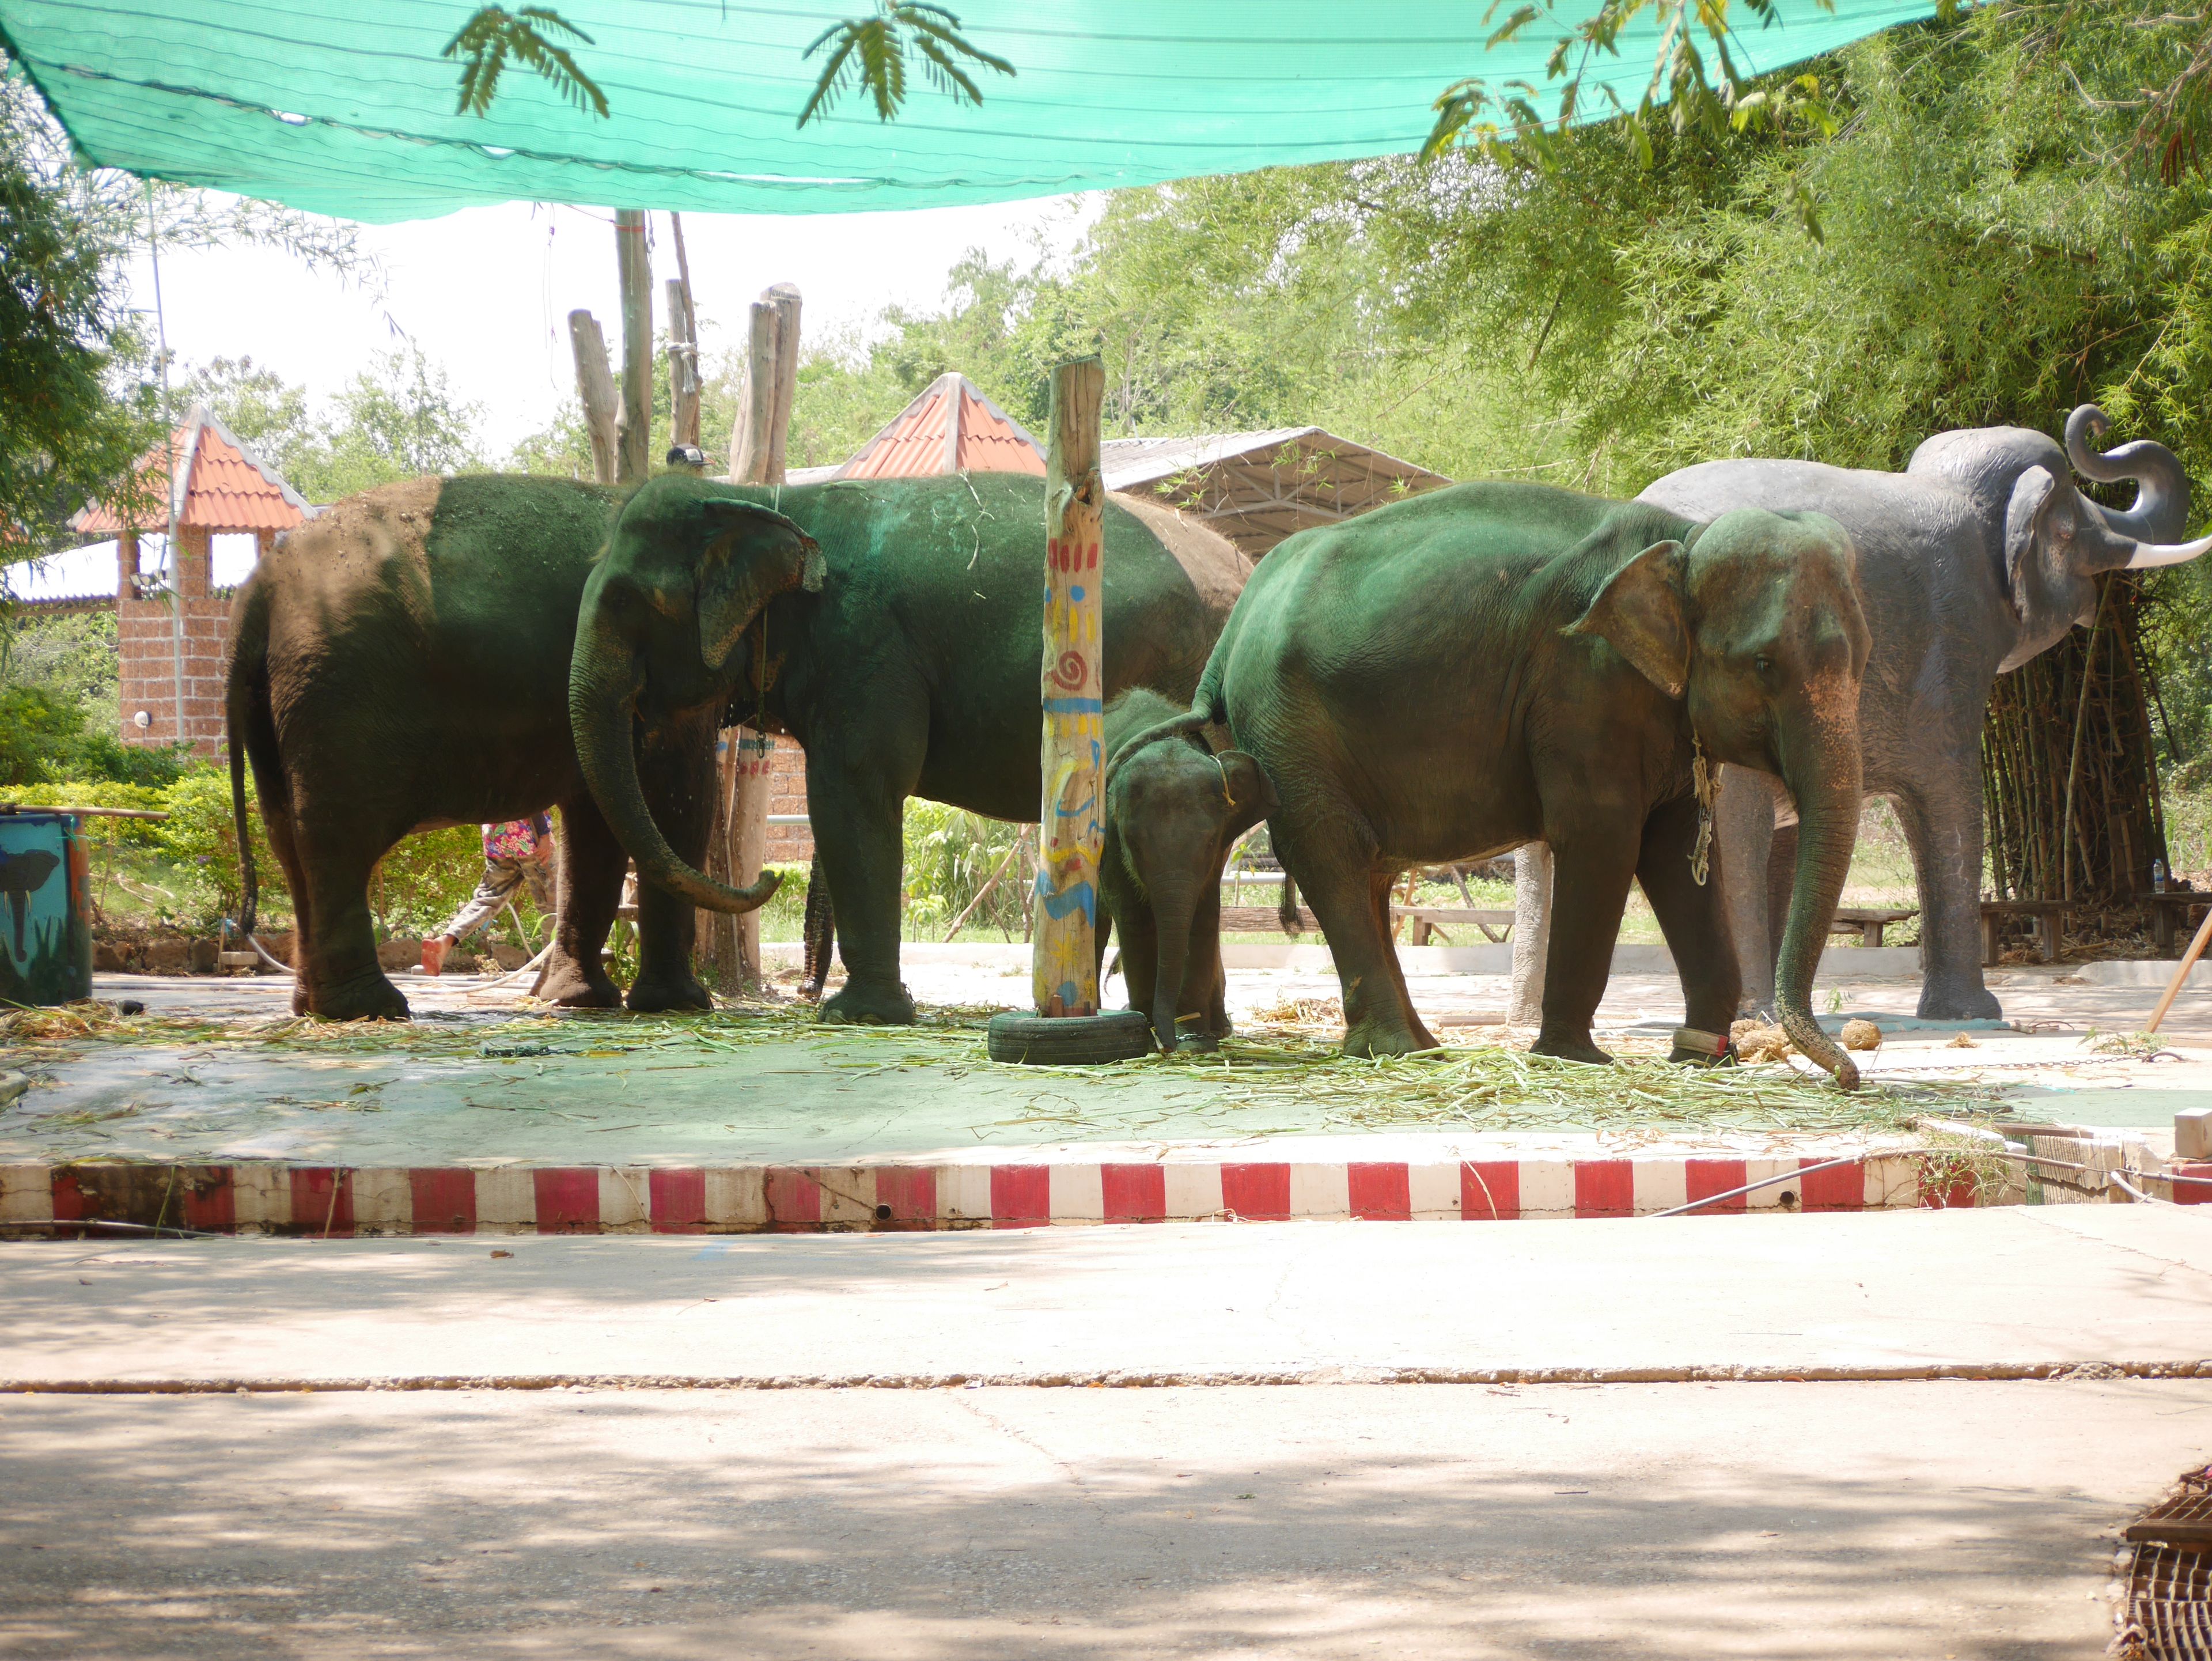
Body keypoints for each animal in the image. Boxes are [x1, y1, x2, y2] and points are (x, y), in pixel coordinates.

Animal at [226, 473, 817, 1019]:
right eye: (627, 604)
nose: (773, 875)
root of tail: (256, 593)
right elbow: (677, 806)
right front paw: (679, 1004)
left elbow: (600, 825)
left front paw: (577, 1000)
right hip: (335, 694)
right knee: (336, 839)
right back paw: (370, 1008)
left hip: (280, 706)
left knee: (287, 840)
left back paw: (314, 1007)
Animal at [1096, 687, 1276, 1052]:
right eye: (1133, 844)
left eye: (1210, 842)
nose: (1169, 1046)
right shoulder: (1110, 842)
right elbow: (1134, 920)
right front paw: (1147, 1030)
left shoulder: (1218, 857)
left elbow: (1204, 919)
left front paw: (1196, 1042)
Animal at [1117, 481, 1872, 1082]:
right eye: (1765, 664)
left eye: (1865, 657)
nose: (1848, 1078)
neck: (1682, 539)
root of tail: (1231, 632)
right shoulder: (1581, 687)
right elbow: (1602, 837)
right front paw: (1573, 1057)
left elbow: (1674, 849)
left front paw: (1705, 1058)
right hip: (1287, 725)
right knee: (1330, 853)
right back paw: (1394, 1050)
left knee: (1370, 871)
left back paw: (1422, 1047)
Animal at [1631, 404, 2212, 1020]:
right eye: (2067, 527)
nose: (2099, 424)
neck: (1946, 489)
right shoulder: (1954, 638)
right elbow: (1953, 796)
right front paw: (1977, 1015)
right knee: (1737, 830)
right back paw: (1754, 1015)